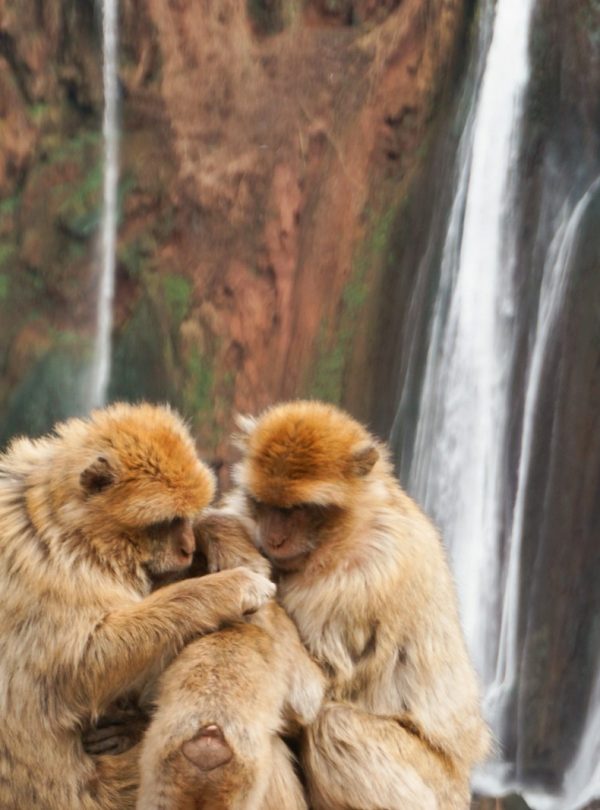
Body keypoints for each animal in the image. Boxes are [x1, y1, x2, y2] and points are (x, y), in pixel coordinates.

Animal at [0, 402, 275, 810]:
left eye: (186, 518)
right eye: (167, 522)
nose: (187, 548)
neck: (69, 528)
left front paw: (217, 533)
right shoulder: (49, 574)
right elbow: (81, 668)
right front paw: (230, 587)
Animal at [229, 400, 491, 810]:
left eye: (297, 510)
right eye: (264, 504)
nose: (273, 539)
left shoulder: (362, 579)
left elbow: (312, 693)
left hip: (438, 788)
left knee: (335, 725)